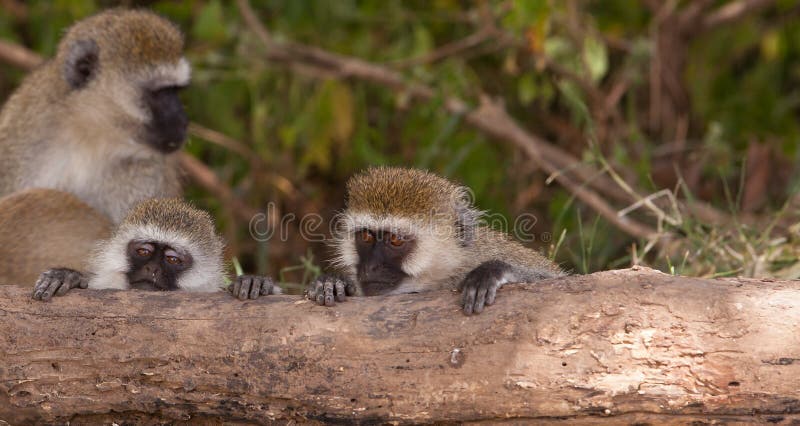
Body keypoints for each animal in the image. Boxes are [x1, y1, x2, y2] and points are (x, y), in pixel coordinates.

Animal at [306, 167, 564, 315]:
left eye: (396, 240)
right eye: (367, 236)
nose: (370, 267)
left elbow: (557, 280)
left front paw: (492, 271)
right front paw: (331, 282)